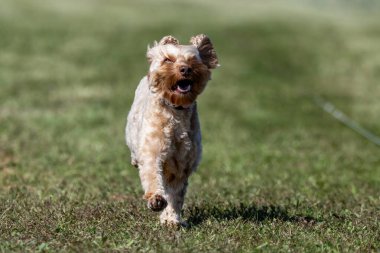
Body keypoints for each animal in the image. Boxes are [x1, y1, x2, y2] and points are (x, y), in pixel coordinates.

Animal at [125, 34, 218, 226]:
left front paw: (171, 219)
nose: (185, 69)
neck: (176, 110)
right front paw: (156, 200)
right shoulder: (152, 150)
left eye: (192, 60)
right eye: (168, 59)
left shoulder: (181, 163)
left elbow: (176, 195)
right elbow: (152, 174)